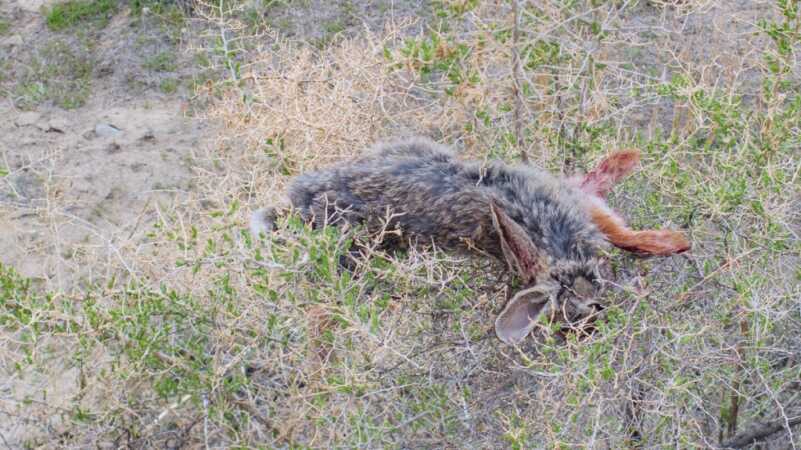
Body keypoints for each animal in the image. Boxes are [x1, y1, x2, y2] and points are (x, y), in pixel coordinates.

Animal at [251, 137, 690, 344]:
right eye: (577, 314)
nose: (600, 315)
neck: (551, 246)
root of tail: (300, 205)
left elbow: (616, 228)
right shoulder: (568, 204)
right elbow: (616, 228)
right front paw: (674, 241)